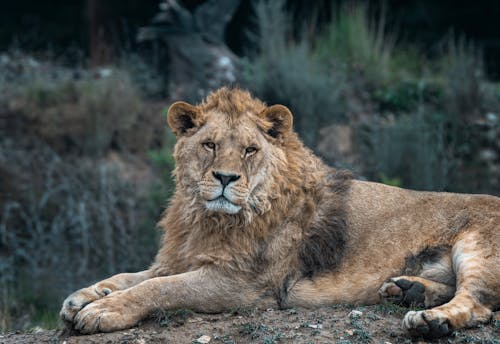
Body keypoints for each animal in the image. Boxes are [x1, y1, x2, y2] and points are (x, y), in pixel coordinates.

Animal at [60, 87, 498, 338]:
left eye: (250, 150)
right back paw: (409, 290)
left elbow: (159, 288)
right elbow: (130, 277)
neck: (205, 218)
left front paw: (103, 310)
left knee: (479, 303)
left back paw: (431, 321)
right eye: (209, 145)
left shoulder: (242, 285)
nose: (225, 177)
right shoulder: (179, 257)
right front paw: (82, 297)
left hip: (479, 248)